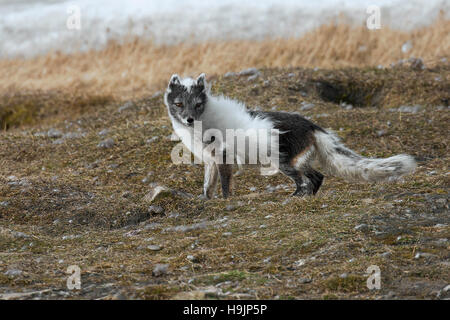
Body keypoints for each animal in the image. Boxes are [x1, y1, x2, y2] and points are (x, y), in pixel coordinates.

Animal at [163, 73, 416, 199]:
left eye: (197, 104)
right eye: (179, 104)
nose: (189, 119)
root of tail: (311, 124)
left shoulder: (224, 156)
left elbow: (225, 185)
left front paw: (225, 201)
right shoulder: (210, 160)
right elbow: (208, 185)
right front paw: (206, 201)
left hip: (282, 161)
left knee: (304, 179)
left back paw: (295, 196)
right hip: (298, 160)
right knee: (317, 177)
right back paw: (307, 197)